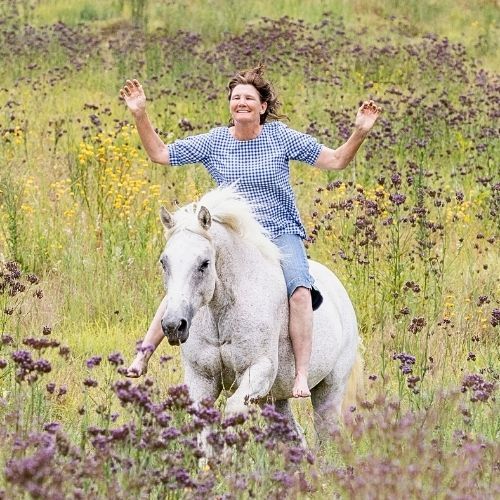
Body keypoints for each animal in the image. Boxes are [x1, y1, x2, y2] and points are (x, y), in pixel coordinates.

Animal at [158, 186, 362, 440]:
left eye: (204, 263)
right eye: (164, 262)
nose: (174, 326)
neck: (221, 313)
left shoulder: (259, 370)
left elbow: (232, 409)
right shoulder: (201, 378)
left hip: (329, 390)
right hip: (275, 398)